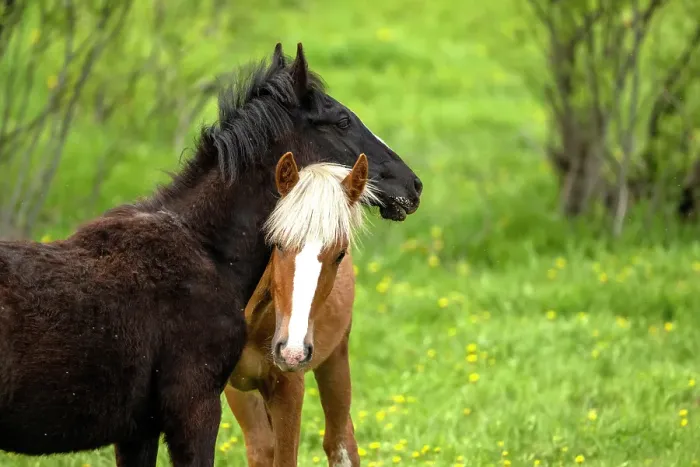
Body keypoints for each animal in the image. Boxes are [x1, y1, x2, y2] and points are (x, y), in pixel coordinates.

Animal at [224, 151, 374, 467]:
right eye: (277, 244)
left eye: (339, 254)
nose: (292, 351)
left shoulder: (288, 388)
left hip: (335, 360)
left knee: (340, 442)